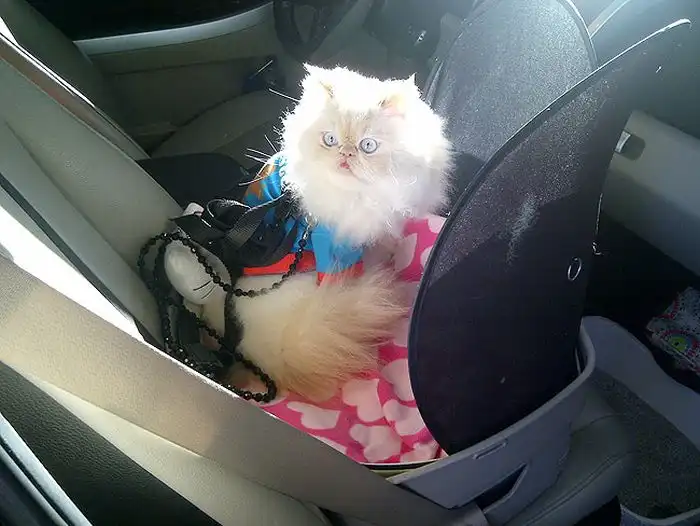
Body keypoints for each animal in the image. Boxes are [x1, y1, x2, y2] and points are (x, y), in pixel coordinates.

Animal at [215, 65, 452, 400]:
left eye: (368, 146)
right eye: (330, 140)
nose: (345, 154)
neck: (360, 195)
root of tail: (270, 353)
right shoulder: (336, 247)